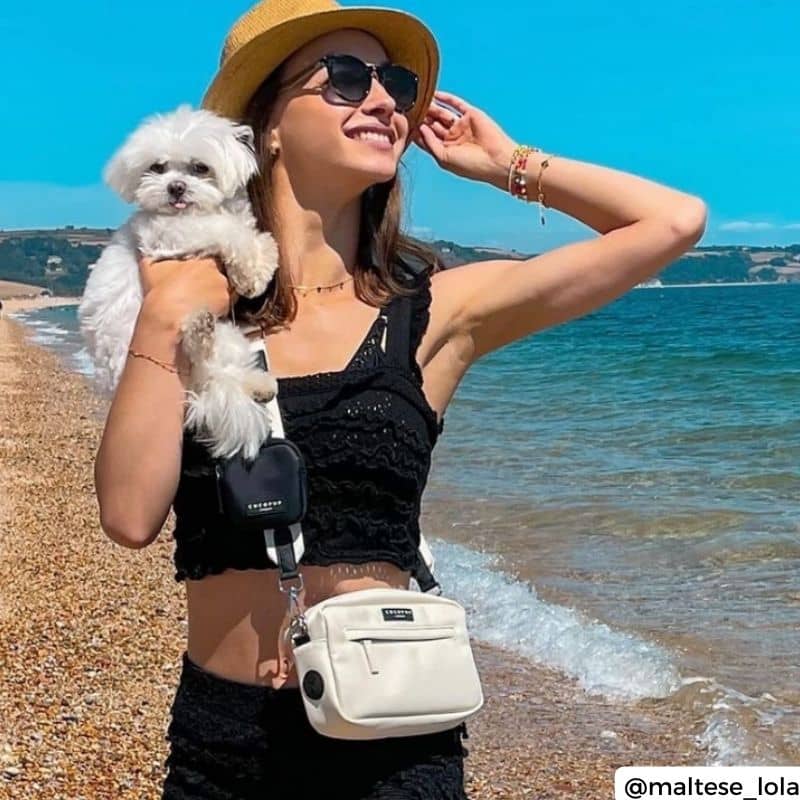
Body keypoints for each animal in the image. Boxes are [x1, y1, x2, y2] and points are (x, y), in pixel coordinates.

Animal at [78, 105, 280, 461]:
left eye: (200, 168)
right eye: (157, 167)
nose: (175, 187)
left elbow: (239, 225)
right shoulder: (169, 235)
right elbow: (226, 229)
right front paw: (257, 266)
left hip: (229, 338)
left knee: (224, 371)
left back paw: (258, 384)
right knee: (204, 360)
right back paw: (200, 331)